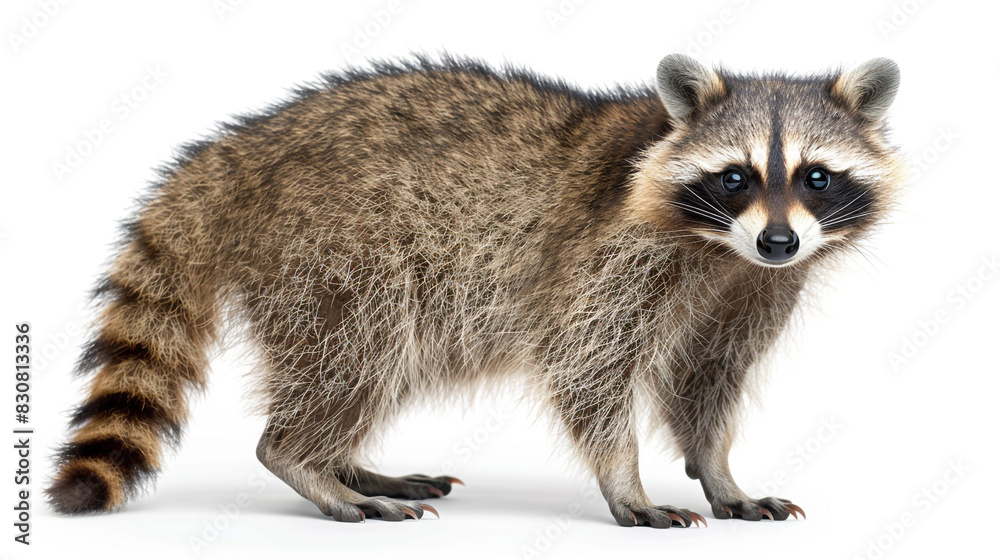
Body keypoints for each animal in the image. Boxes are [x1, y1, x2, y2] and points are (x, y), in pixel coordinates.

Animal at [48, 54, 904, 527]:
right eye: (736, 177)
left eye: (816, 177)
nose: (778, 241)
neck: (721, 248)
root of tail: (239, 150)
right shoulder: (609, 257)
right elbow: (587, 365)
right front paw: (623, 476)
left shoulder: (750, 289)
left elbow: (707, 378)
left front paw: (720, 468)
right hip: (334, 254)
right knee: (358, 351)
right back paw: (306, 460)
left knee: (376, 365)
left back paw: (344, 459)